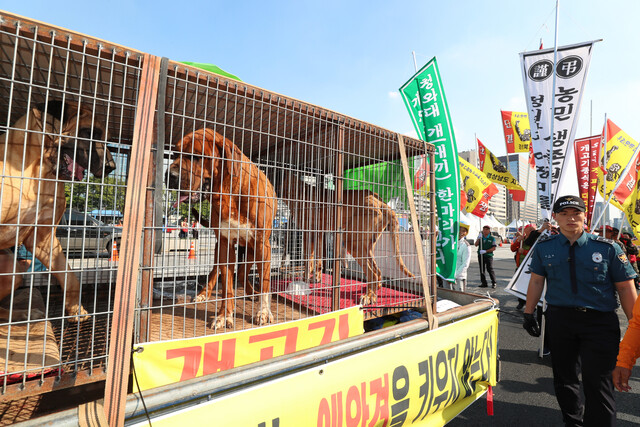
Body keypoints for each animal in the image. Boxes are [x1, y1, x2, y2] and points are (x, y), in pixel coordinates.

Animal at [0, 100, 116, 320]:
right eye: (89, 132)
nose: (110, 166)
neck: (39, 172)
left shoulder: (43, 239)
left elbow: (69, 276)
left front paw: (75, 309)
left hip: (13, 268)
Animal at [166, 129, 276, 330]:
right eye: (175, 154)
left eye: (197, 156)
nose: (169, 175)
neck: (230, 192)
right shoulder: (225, 244)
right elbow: (226, 287)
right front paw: (224, 316)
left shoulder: (262, 245)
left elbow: (265, 283)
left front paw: (263, 312)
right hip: (220, 249)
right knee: (216, 271)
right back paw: (203, 294)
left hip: (251, 249)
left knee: (243, 273)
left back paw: (252, 293)